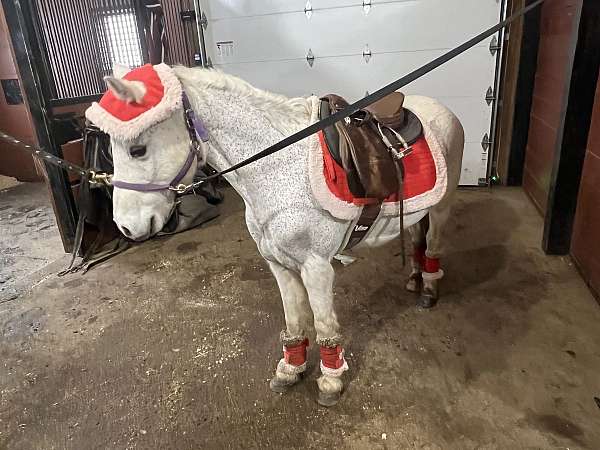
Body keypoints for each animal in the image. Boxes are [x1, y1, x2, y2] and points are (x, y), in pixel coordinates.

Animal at [86, 64, 464, 408]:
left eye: (137, 149)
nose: (127, 227)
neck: (278, 165)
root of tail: (443, 111)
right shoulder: (278, 264)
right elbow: (294, 319)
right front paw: (290, 369)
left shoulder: (316, 267)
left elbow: (323, 324)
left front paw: (330, 381)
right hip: (417, 211)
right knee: (416, 239)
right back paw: (414, 278)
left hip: (443, 207)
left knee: (433, 244)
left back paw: (429, 290)